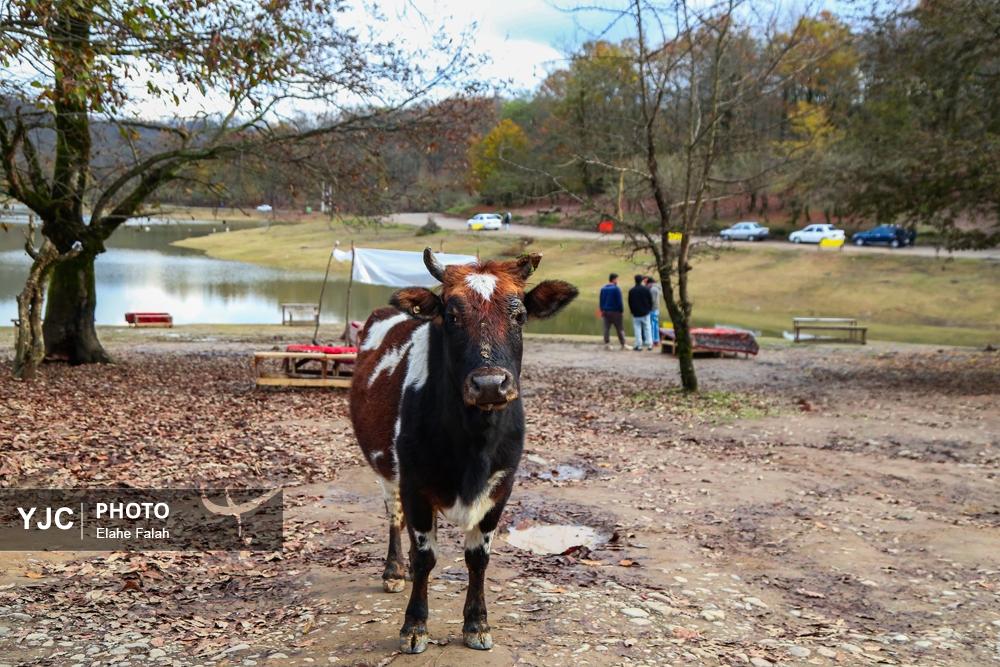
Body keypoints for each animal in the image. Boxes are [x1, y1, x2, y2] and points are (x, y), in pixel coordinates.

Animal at [350, 248, 580, 656]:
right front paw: (414, 625)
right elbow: (425, 556)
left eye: (519, 315)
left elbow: (478, 557)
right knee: (393, 515)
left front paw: (476, 623)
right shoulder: (415, 484)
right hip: (385, 469)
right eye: (452, 316)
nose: (489, 383)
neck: (474, 443)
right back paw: (394, 570)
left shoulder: (501, 487)